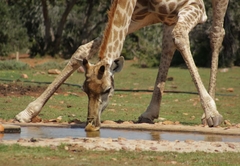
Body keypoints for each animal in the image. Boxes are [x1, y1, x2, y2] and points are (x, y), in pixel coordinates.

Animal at [15, 0, 229, 132]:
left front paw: (212, 114)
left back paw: (207, 114)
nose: (91, 124)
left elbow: (181, 37)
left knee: (216, 33)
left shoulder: (194, 6)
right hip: (165, 16)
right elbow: (82, 50)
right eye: (84, 89)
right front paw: (26, 113)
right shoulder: (139, 16)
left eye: (107, 90)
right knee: (168, 43)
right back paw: (149, 112)